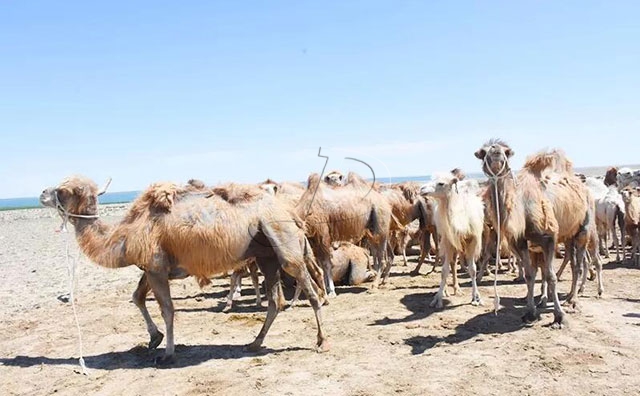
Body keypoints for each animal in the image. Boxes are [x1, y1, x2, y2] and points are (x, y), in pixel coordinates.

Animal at [40, 176, 330, 366]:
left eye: (63, 190)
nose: (42, 193)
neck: (126, 234)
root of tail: (290, 212)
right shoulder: (153, 268)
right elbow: (137, 297)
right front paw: (154, 339)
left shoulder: (156, 267)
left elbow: (167, 309)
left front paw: (167, 353)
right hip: (266, 254)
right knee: (275, 300)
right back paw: (255, 343)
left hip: (282, 238)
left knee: (308, 288)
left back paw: (322, 341)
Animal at [420, 172, 484, 308]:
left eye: (441, 183)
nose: (422, 189)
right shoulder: (448, 240)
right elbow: (444, 271)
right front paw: (438, 298)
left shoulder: (473, 241)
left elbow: (473, 269)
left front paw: (476, 297)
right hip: (442, 239)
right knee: (448, 262)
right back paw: (446, 291)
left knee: (454, 263)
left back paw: (457, 289)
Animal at [476, 140, 592, 328]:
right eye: (482, 152)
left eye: (507, 151)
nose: (495, 151)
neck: (521, 209)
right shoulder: (520, 242)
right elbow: (530, 275)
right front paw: (530, 313)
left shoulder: (548, 238)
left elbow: (550, 276)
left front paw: (559, 317)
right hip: (567, 235)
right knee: (572, 259)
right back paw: (566, 297)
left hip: (583, 229)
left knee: (578, 264)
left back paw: (573, 301)